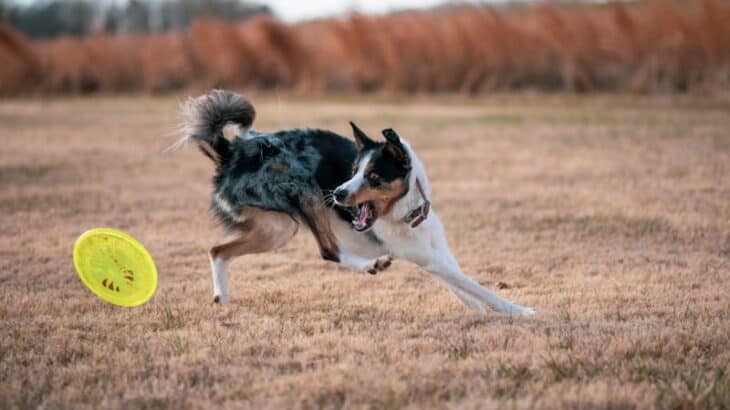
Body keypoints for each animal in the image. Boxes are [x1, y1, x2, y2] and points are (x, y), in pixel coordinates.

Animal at [174, 88, 532, 316]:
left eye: (372, 176)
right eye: (353, 171)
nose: (338, 194)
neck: (407, 214)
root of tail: (230, 151)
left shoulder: (433, 254)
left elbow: (461, 284)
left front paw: (478, 310)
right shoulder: (429, 259)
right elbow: (476, 286)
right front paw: (519, 310)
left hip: (276, 229)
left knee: (217, 251)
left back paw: (222, 295)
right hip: (303, 193)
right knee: (328, 250)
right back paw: (371, 265)